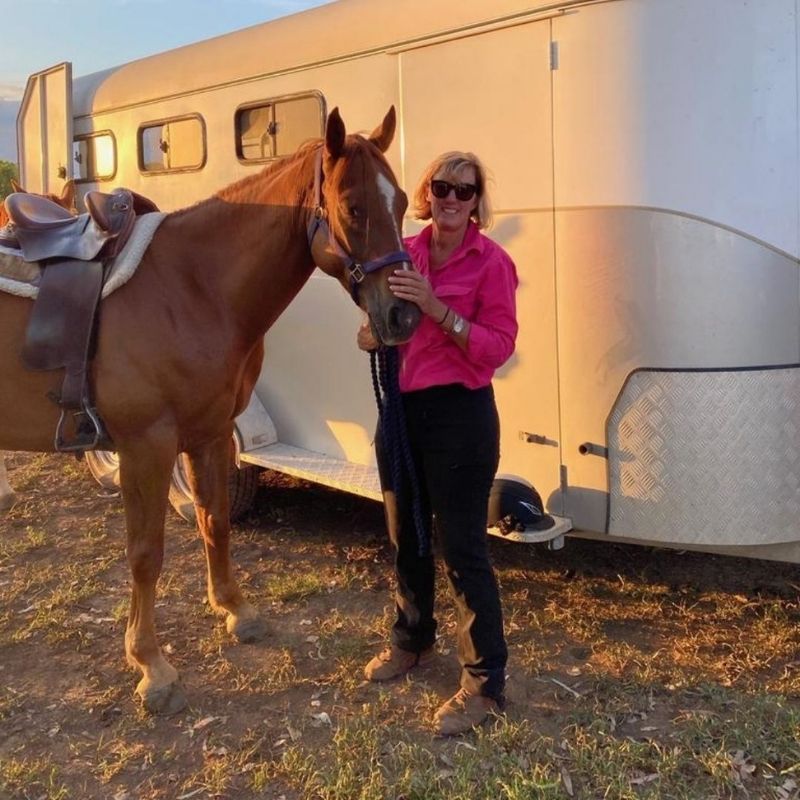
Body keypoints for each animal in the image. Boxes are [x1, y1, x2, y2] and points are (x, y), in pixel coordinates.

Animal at [0, 106, 422, 712]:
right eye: (352, 207)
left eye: (404, 201)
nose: (402, 317)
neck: (192, 287)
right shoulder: (146, 447)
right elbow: (146, 553)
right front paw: (151, 664)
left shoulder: (211, 434)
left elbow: (214, 521)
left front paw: (235, 610)